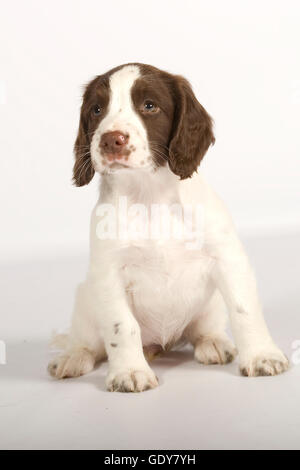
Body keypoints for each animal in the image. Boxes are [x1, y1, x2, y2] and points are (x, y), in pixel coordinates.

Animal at [48, 63, 290, 392]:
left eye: (150, 106)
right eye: (97, 110)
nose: (111, 140)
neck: (149, 197)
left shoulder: (228, 258)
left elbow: (244, 309)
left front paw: (262, 356)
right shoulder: (108, 273)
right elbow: (121, 326)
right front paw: (129, 372)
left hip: (210, 305)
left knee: (204, 328)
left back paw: (213, 342)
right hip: (85, 297)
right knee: (86, 341)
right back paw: (74, 357)